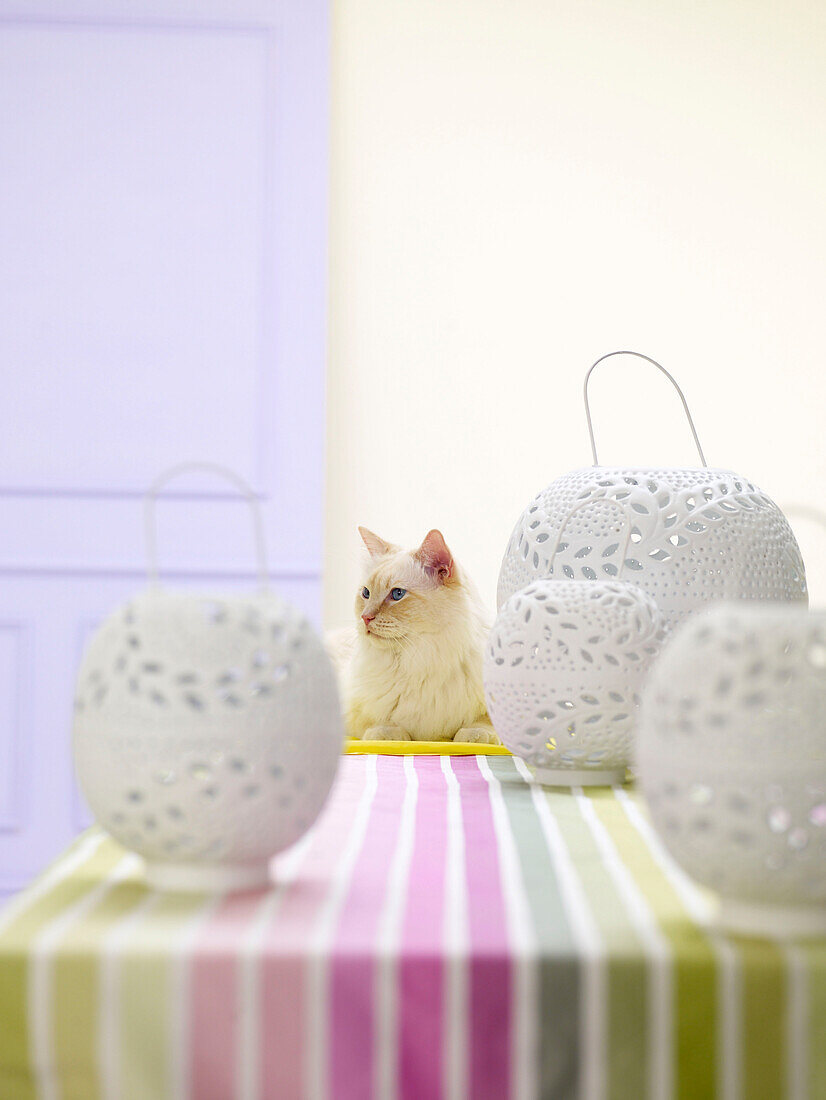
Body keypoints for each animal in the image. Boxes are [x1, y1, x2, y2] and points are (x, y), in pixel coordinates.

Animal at [327, 525, 497, 748]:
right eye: (366, 593)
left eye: (397, 594)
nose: (365, 617)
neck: (420, 660)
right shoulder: (350, 707)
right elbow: (375, 723)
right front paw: (390, 736)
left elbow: (483, 723)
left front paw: (473, 736)